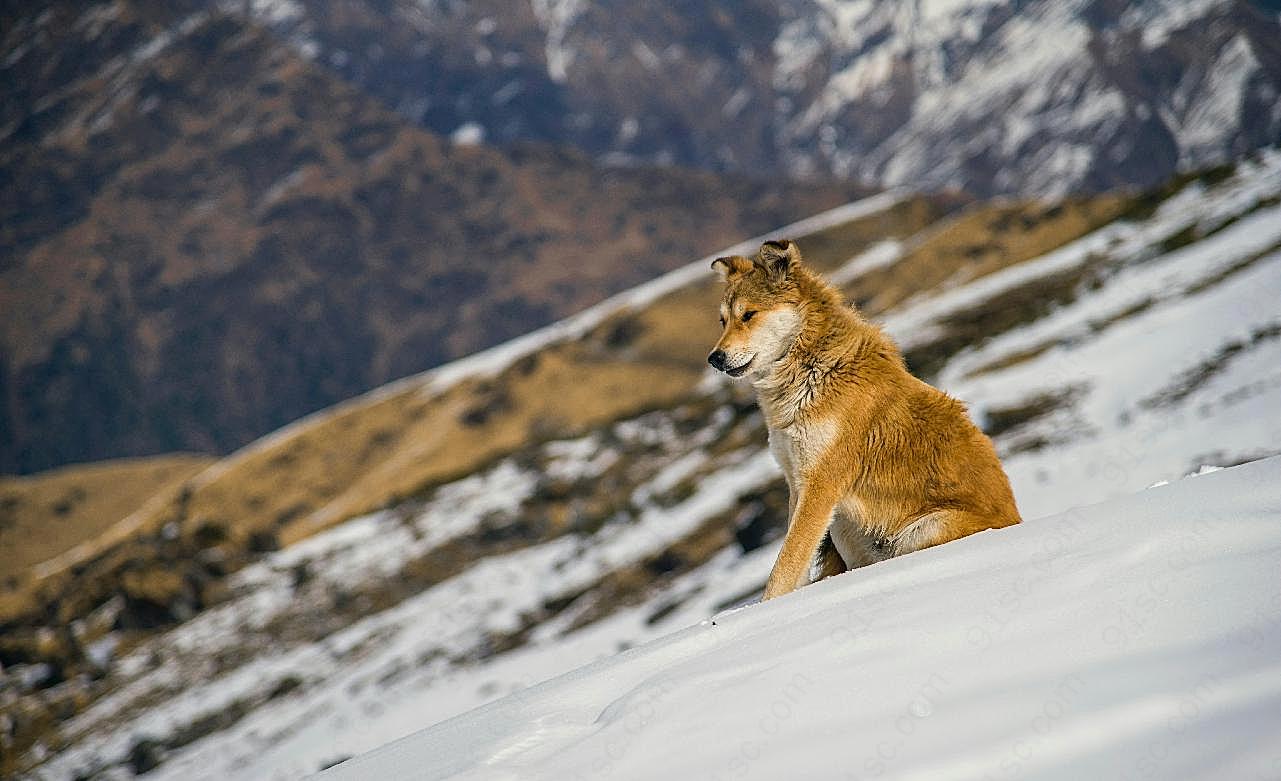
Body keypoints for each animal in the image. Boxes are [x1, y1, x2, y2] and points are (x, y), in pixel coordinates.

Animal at [712, 240, 1019, 599]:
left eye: (748, 315)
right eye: (723, 321)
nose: (714, 358)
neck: (812, 369)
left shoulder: (820, 485)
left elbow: (785, 567)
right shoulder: (797, 483)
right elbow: (794, 560)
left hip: (922, 529)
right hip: (847, 526)